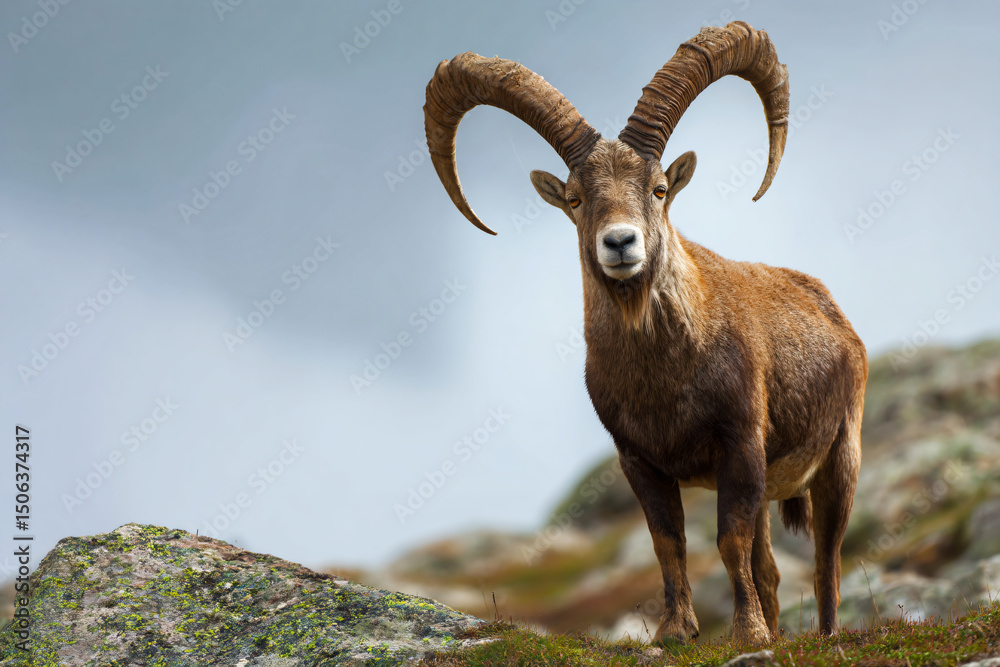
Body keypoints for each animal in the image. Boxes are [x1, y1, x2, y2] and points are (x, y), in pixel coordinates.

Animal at [424, 21, 866, 646]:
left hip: (839, 456)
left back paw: (823, 635)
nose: (620, 242)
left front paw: (747, 635)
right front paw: (676, 632)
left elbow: (726, 539)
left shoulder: (740, 443)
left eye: (658, 188)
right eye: (576, 198)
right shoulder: (638, 458)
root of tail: (833, 311)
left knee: (827, 562)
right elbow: (667, 543)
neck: (665, 375)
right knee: (772, 569)